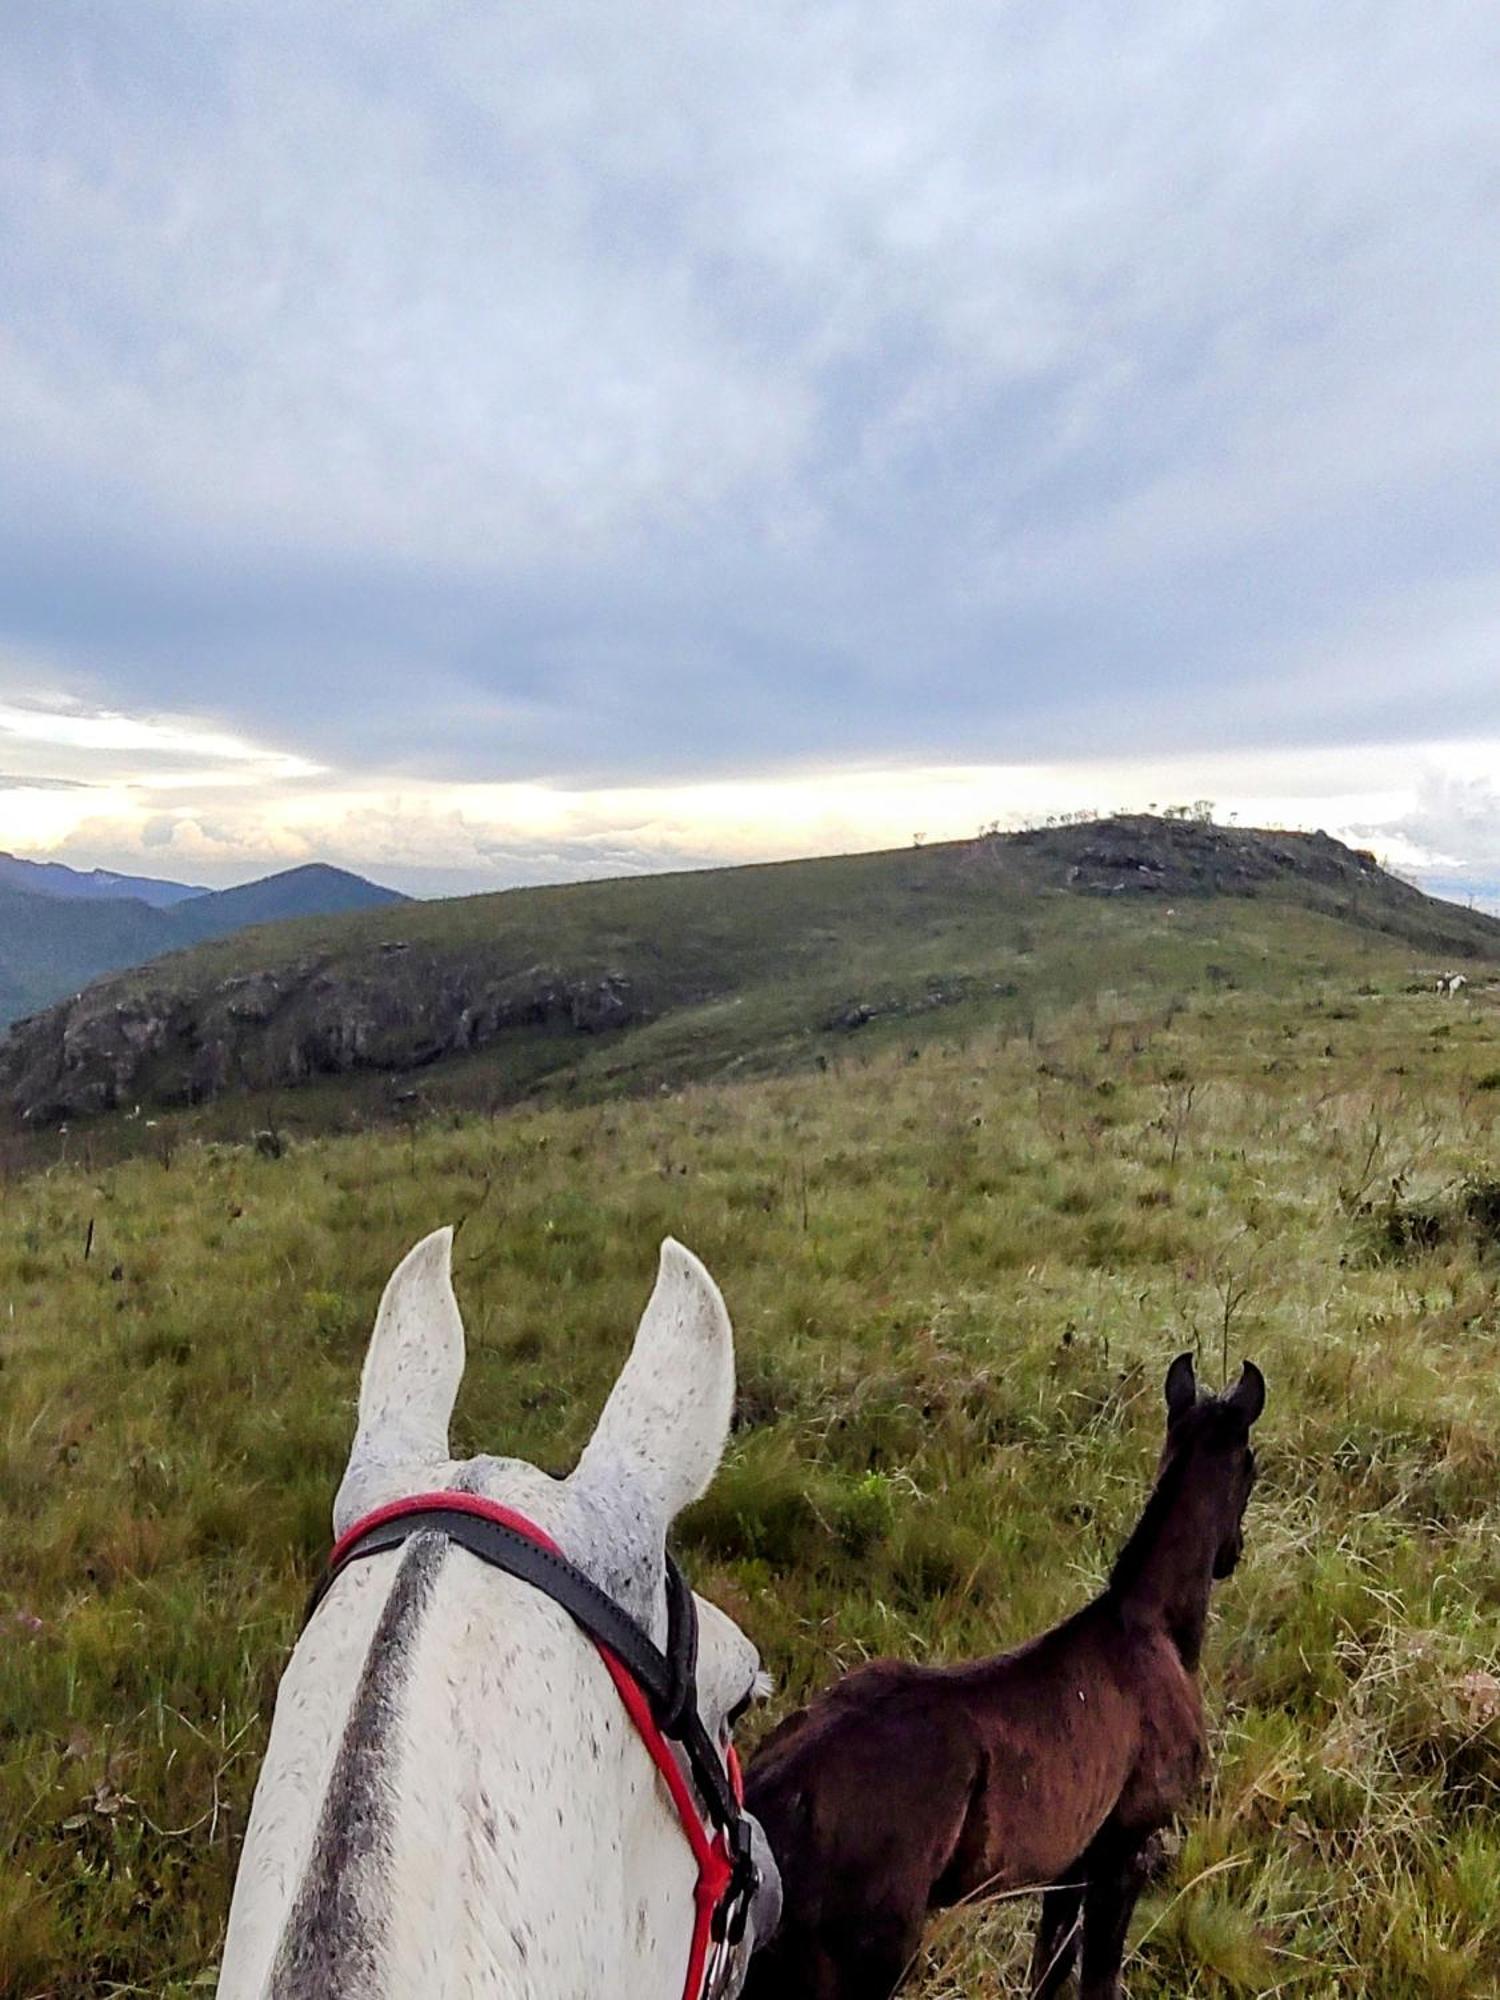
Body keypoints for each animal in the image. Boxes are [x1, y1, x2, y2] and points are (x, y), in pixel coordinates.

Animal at [748, 1352, 1264, 1992]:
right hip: (864, 1959)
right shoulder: (1127, 1848)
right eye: (1253, 1467)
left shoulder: (1072, 1864)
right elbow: (1098, 1977)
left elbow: (1049, 1968)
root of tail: (771, 1792)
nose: (1231, 1554)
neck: (1153, 1625)